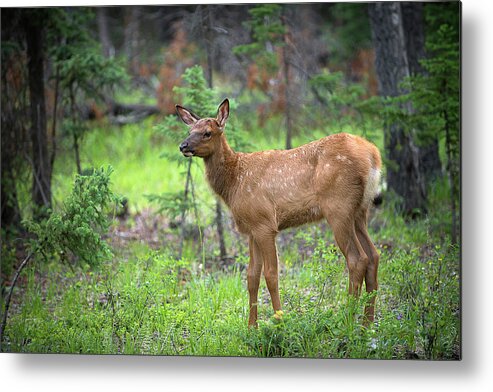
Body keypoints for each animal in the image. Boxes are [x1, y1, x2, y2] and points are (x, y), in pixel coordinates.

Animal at [176, 99, 380, 326]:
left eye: (207, 133)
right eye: (189, 130)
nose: (183, 146)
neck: (234, 182)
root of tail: (373, 156)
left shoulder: (265, 224)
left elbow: (271, 275)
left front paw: (279, 321)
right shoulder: (252, 228)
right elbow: (251, 276)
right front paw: (252, 326)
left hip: (339, 208)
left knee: (357, 259)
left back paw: (347, 320)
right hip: (360, 210)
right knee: (373, 255)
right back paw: (367, 324)